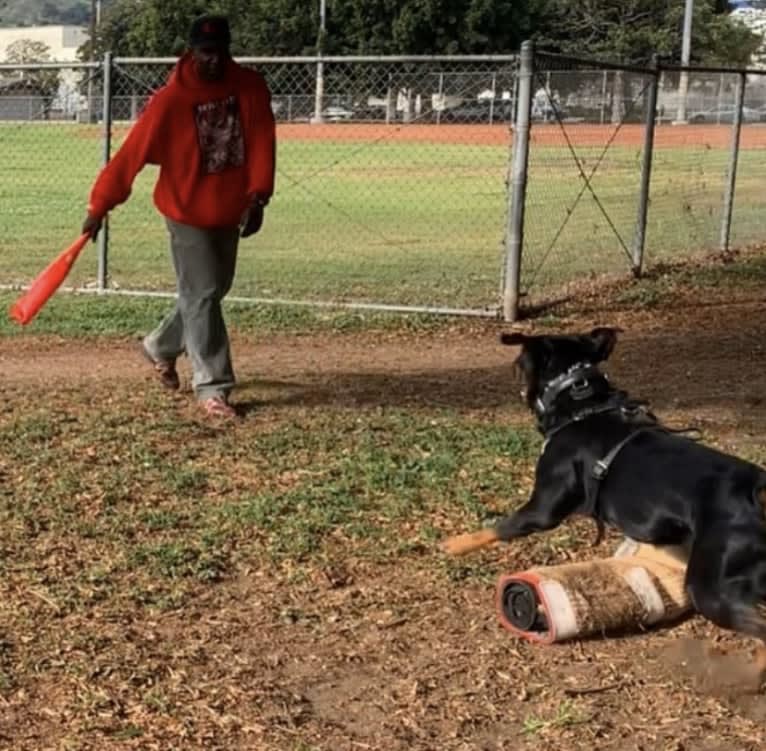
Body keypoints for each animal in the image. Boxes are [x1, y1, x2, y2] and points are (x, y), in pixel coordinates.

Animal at [448, 328, 766, 688]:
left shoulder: (543, 509)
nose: (512, 370)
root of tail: (756, 488)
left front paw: (452, 544)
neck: (582, 407)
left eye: (519, 360)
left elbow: (497, 527)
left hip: (709, 587)